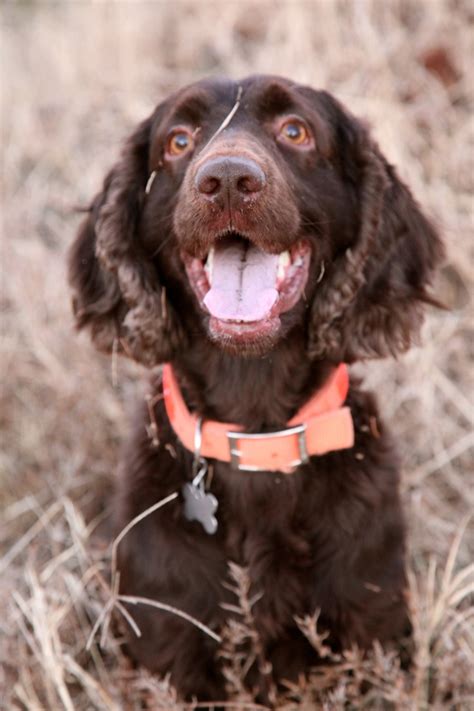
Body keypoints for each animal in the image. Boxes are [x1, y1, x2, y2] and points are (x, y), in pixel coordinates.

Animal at [68, 73, 442, 700]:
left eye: (295, 131)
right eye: (178, 140)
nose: (226, 181)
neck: (258, 433)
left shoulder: (375, 627)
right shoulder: (163, 647)